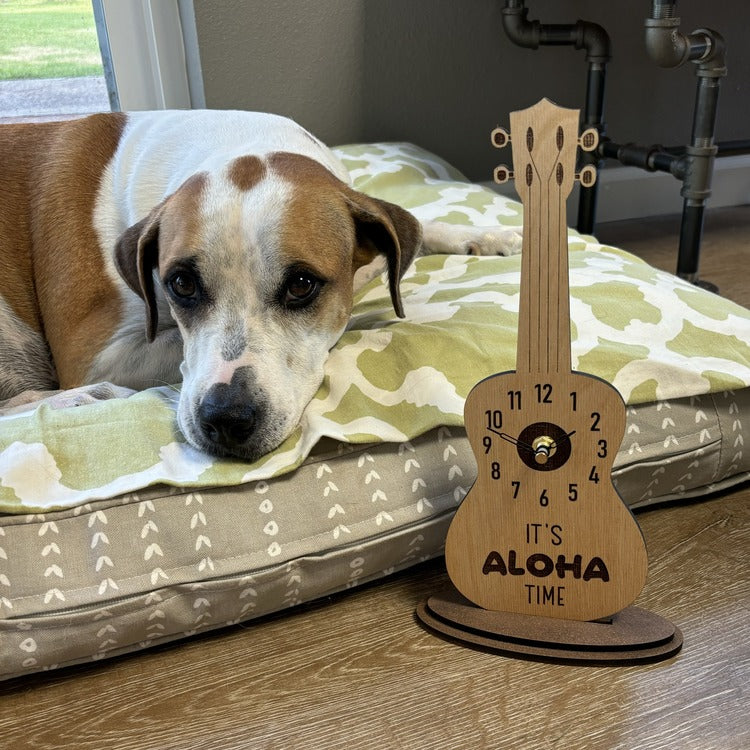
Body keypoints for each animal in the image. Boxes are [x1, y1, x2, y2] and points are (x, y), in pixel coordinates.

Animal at [0, 110, 520, 458]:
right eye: (181, 284)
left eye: (302, 285)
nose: (226, 418)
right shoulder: (95, 357)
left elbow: (401, 234)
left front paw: (485, 236)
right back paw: (83, 399)